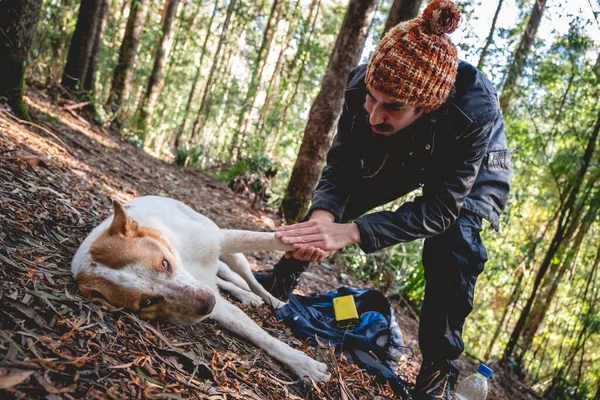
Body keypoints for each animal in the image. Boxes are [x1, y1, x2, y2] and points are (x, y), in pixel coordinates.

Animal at [72, 195, 330, 382]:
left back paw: (272, 300)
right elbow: (256, 334)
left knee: (248, 280)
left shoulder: (222, 239)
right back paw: (245, 295)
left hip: (235, 257)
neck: (182, 256)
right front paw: (302, 364)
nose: (207, 304)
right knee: (226, 282)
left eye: (164, 263)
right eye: (147, 302)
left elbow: (273, 240)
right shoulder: (215, 304)